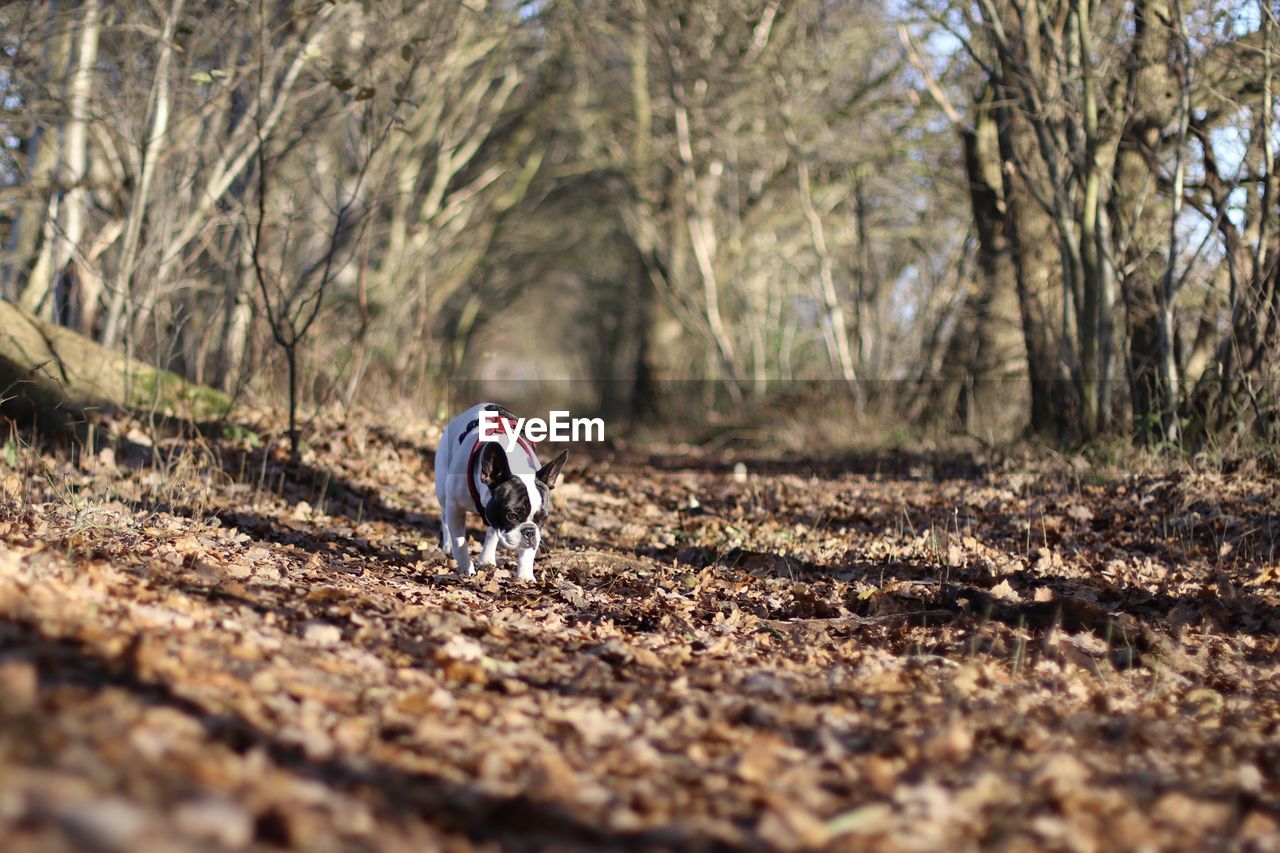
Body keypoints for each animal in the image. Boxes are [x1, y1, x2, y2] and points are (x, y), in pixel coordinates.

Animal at [435, 404, 565, 578]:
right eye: (511, 516)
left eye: (543, 518)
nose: (529, 532)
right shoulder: (455, 507)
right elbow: (460, 541)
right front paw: (465, 568)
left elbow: (526, 553)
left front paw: (525, 576)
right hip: (443, 489)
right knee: (444, 516)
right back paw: (448, 545)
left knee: (492, 532)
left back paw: (487, 559)